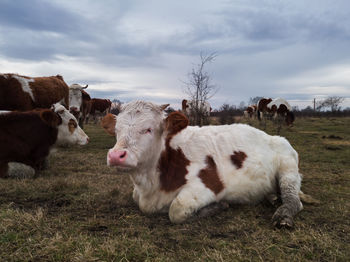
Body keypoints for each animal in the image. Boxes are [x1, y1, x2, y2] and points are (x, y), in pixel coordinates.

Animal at [100, 101, 304, 228]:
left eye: (148, 129)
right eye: (116, 130)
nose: (116, 155)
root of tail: (272, 136)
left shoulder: (210, 185)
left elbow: (177, 209)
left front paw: (218, 206)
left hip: (288, 168)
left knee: (294, 200)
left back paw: (284, 214)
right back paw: (272, 197)